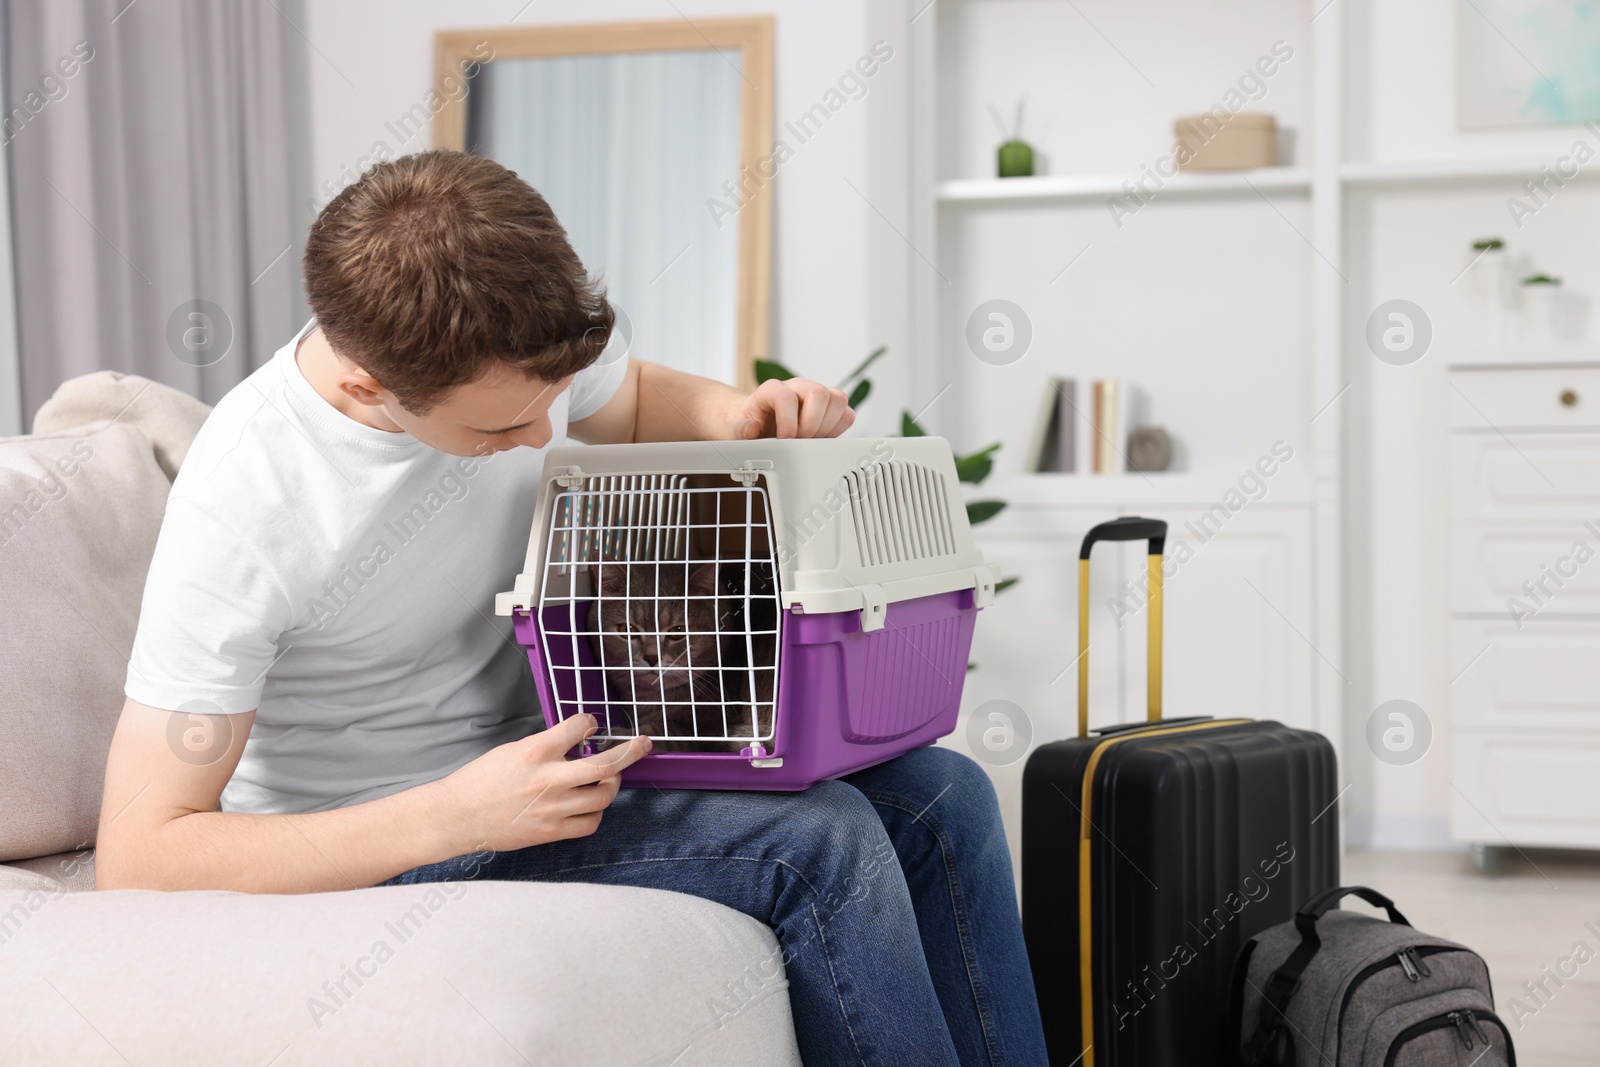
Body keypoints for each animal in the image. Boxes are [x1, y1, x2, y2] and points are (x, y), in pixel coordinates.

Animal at [595, 556, 780, 755]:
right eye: (627, 629)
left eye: (678, 631)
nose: (652, 658)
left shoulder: (709, 730)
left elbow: (664, 732)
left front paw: (619, 741)